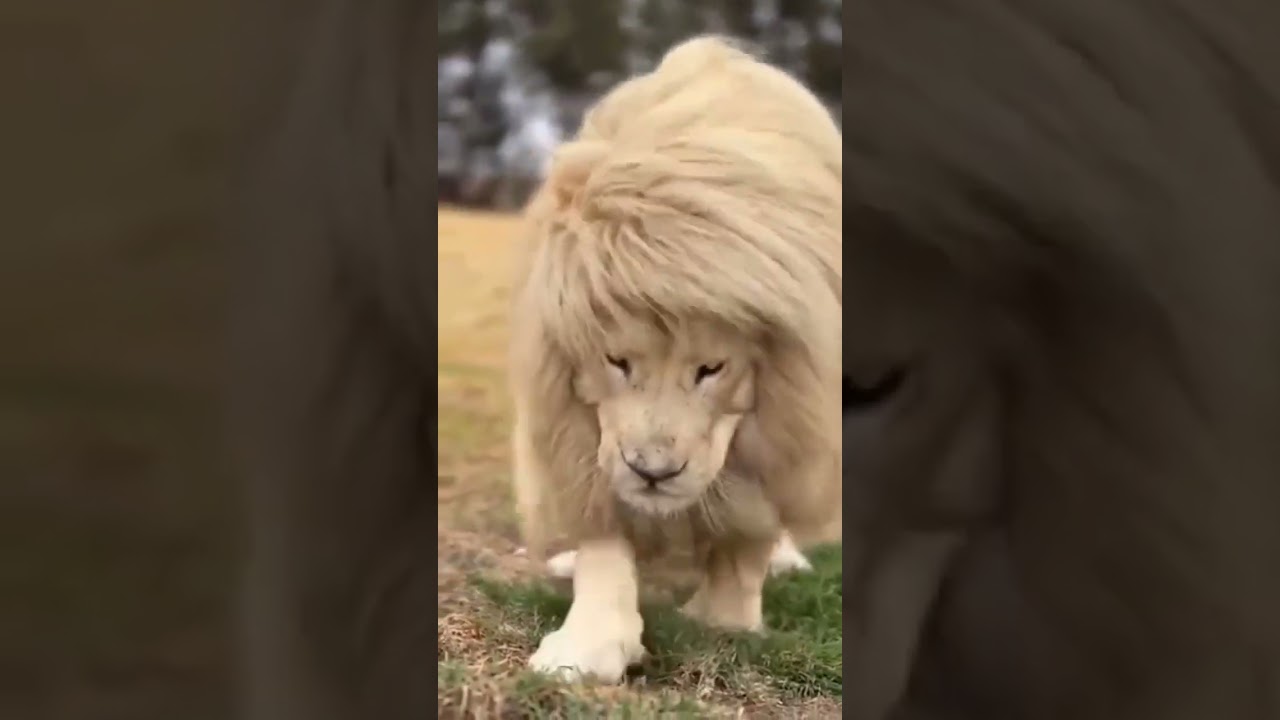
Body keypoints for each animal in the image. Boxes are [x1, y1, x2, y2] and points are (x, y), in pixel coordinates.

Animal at [507, 35, 843, 684]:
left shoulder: (787, 422)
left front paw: (724, 617)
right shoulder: (582, 432)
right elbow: (604, 536)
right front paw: (586, 648)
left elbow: (747, 541)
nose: (653, 473)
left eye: (711, 369)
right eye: (616, 360)